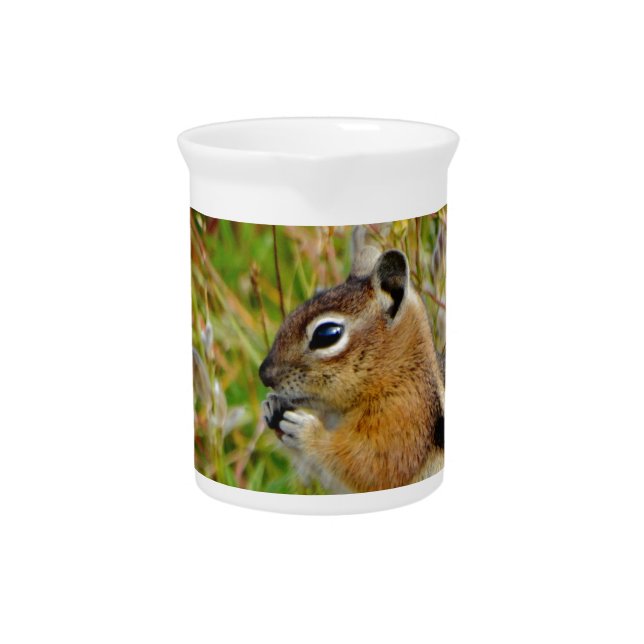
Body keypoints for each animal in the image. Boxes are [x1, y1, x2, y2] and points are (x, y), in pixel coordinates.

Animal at [259, 227, 444, 493]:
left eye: (327, 334)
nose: (263, 374)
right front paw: (271, 406)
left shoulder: (402, 418)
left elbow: (366, 466)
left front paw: (306, 431)